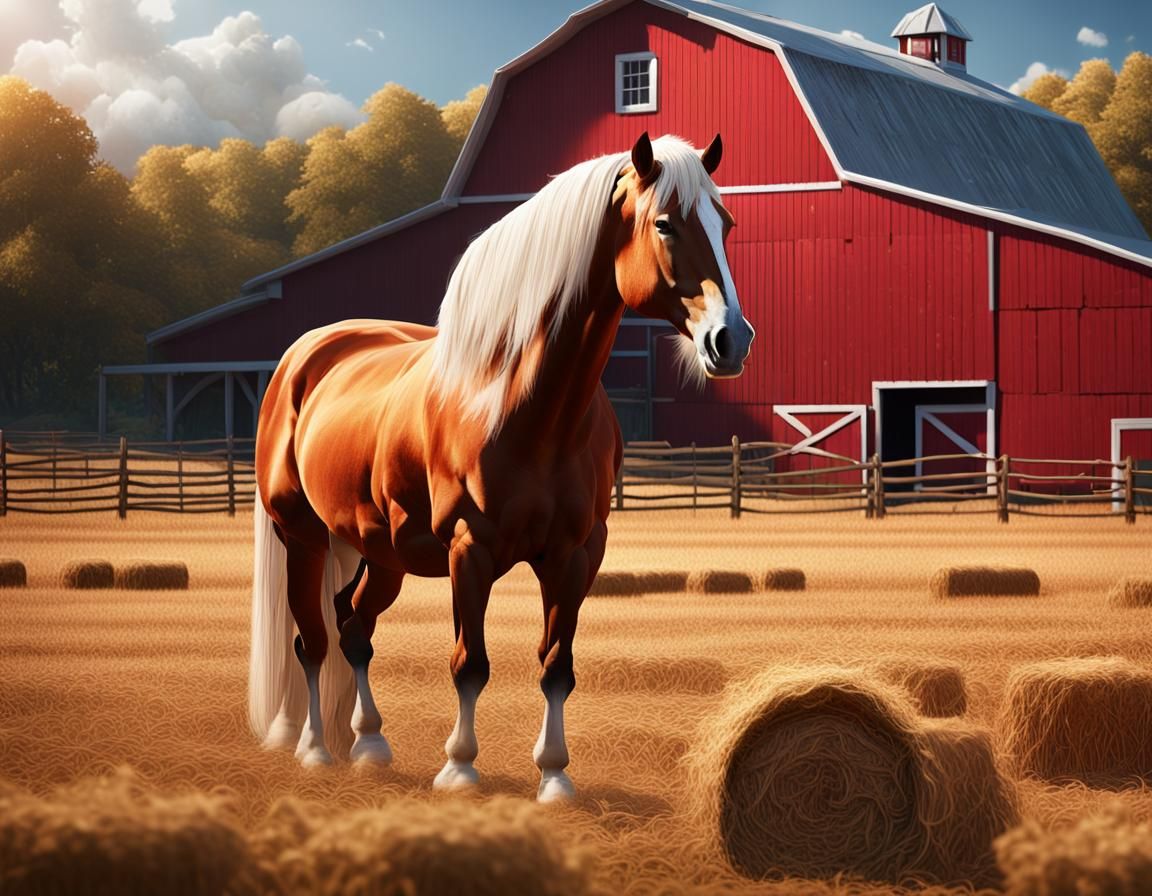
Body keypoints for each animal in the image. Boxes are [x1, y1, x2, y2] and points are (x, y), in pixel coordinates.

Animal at [248, 132, 754, 802]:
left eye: (725, 223)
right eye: (665, 223)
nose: (732, 340)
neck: (523, 405)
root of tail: (303, 355)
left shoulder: (576, 554)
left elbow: (556, 666)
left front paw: (555, 775)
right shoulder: (471, 550)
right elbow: (470, 663)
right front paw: (460, 768)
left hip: (382, 553)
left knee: (353, 628)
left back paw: (371, 742)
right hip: (302, 537)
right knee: (312, 640)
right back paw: (313, 747)